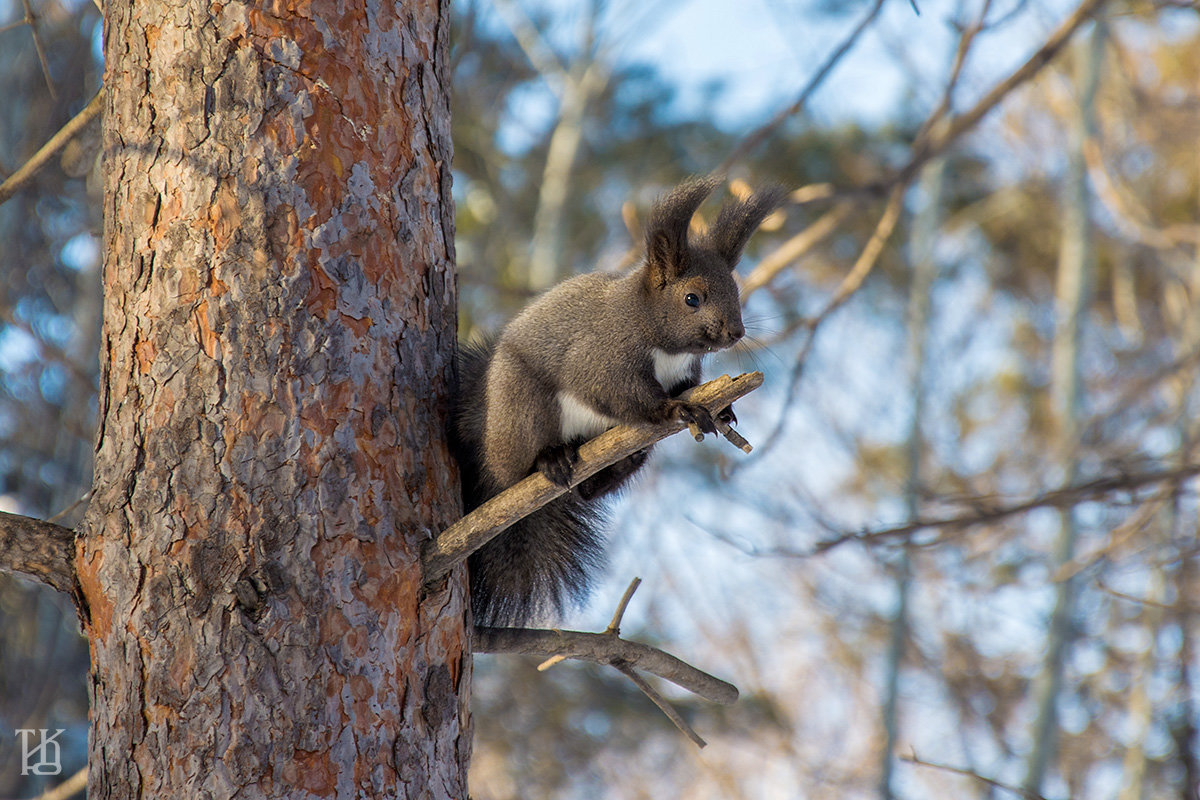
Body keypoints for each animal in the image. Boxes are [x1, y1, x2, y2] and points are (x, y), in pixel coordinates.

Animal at [451, 178, 787, 628]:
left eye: (735, 289)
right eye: (692, 298)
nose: (734, 332)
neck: (658, 339)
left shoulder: (685, 373)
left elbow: (689, 388)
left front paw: (723, 409)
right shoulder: (601, 358)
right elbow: (623, 394)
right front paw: (675, 411)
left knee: (588, 492)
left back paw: (626, 460)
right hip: (523, 409)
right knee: (519, 467)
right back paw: (550, 459)